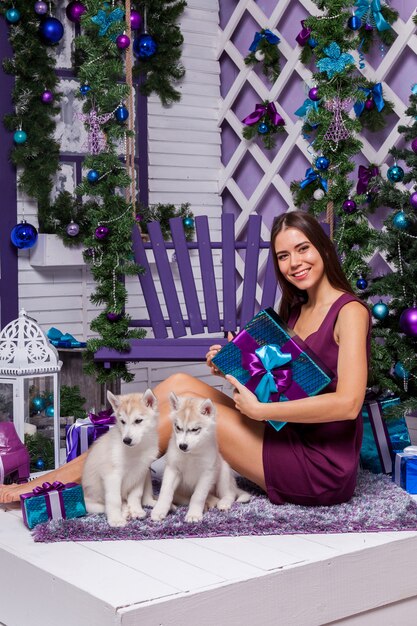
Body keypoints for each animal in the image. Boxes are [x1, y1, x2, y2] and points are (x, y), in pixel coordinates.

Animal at [82, 390, 158, 528]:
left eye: (138, 421)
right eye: (122, 421)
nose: (126, 440)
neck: (135, 450)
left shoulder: (140, 473)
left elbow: (136, 495)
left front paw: (136, 511)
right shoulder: (112, 475)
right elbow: (114, 499)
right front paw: (116, 519)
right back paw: (123, 511)